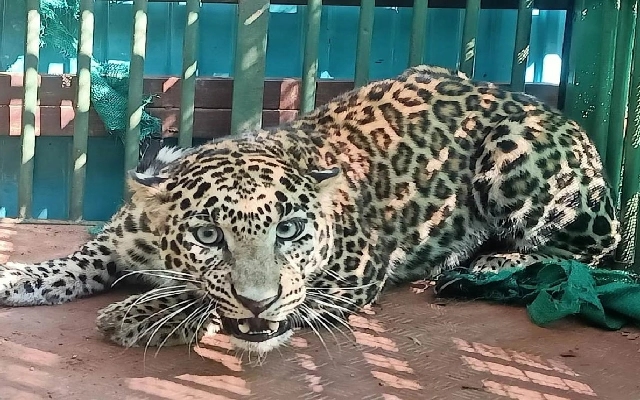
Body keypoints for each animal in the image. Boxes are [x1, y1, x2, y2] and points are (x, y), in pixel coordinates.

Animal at [0, 65, 620, 356]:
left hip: (516, 158)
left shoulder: (358, 271)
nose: (258, 302)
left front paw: (138, 314)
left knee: (597, 249)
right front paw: (15, 277)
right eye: (208, 235)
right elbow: (63, 266)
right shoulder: (113, 244)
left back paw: (486, 264)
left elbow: (240, 296)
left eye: (291, 230)